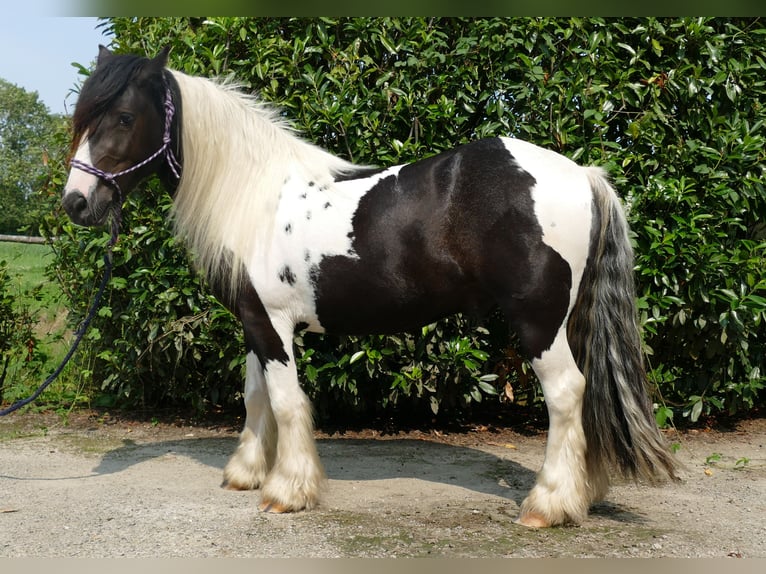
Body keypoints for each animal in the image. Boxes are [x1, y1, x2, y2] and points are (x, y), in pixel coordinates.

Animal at [63, 47, 680, 528]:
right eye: (81, 118)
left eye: (123, 116)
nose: (76, 203)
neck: (257, 197)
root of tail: (583, 174)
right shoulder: (254, 321)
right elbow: (255, 396)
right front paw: (245, 473)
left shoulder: (273, 324)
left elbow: (285, 402)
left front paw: (287, 492)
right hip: (567, 319)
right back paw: (583, 494)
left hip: (538, 321)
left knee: (567, 394)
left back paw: (548, 505)